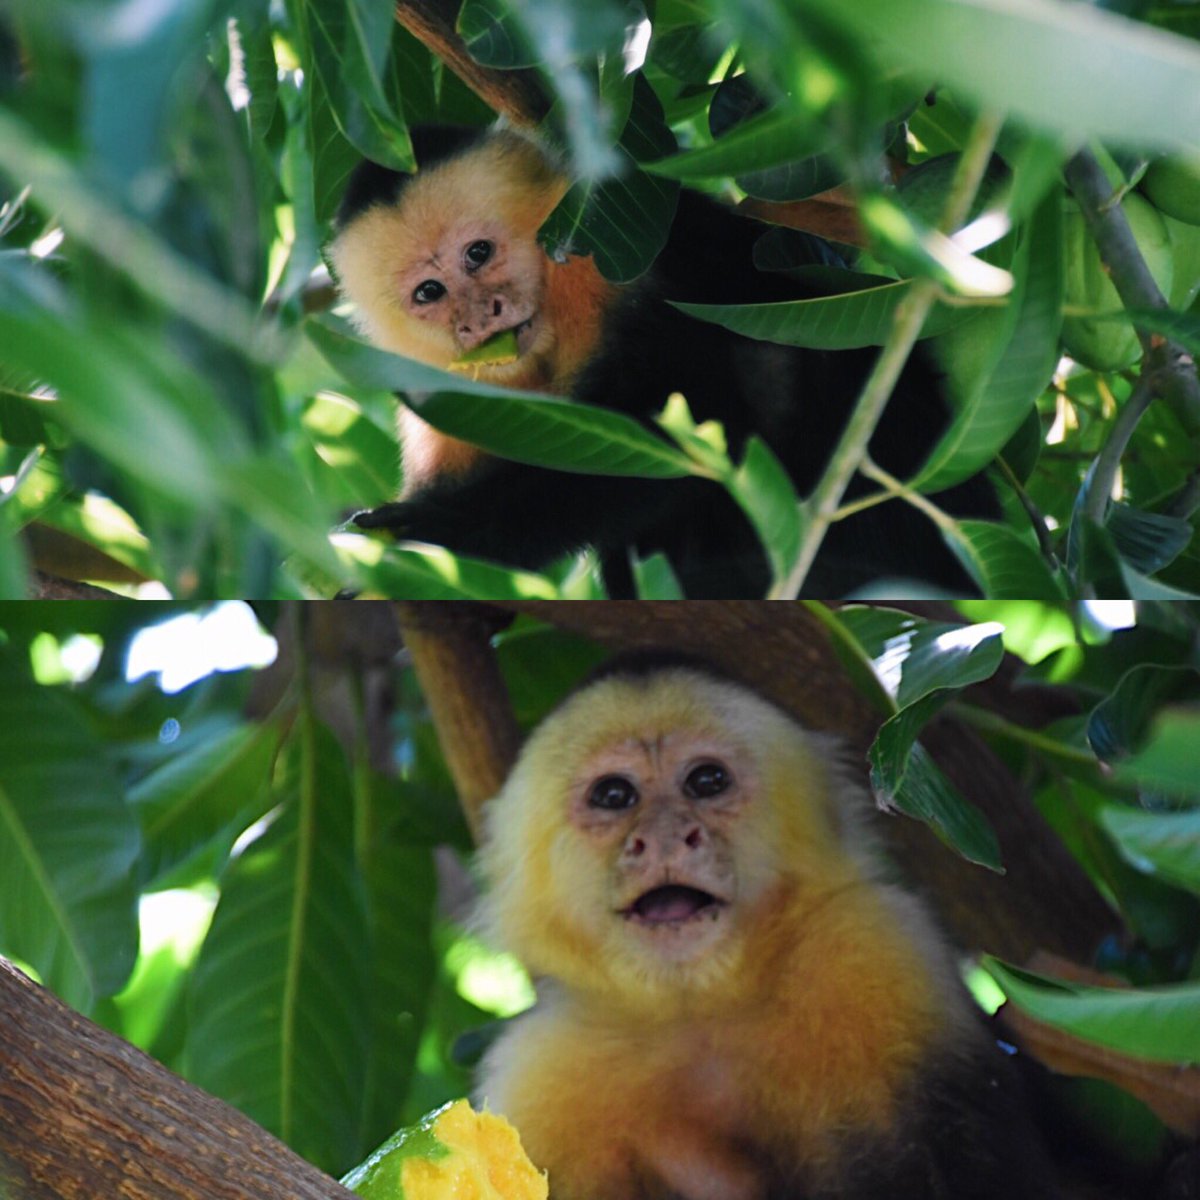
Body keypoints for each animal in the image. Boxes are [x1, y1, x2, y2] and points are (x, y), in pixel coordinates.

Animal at [329, 126, 1000, 599]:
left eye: (478, 253)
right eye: (429, 293)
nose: (479, 318)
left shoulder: (599, 258)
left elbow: (678, 426)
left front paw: (439, 530)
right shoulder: (439, 389)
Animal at [471, 652, 1061, 1200]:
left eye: (707, 781)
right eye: (614, 795)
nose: (665, 835)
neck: (702, 1012)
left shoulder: (881, 953)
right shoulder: (541, 1081)